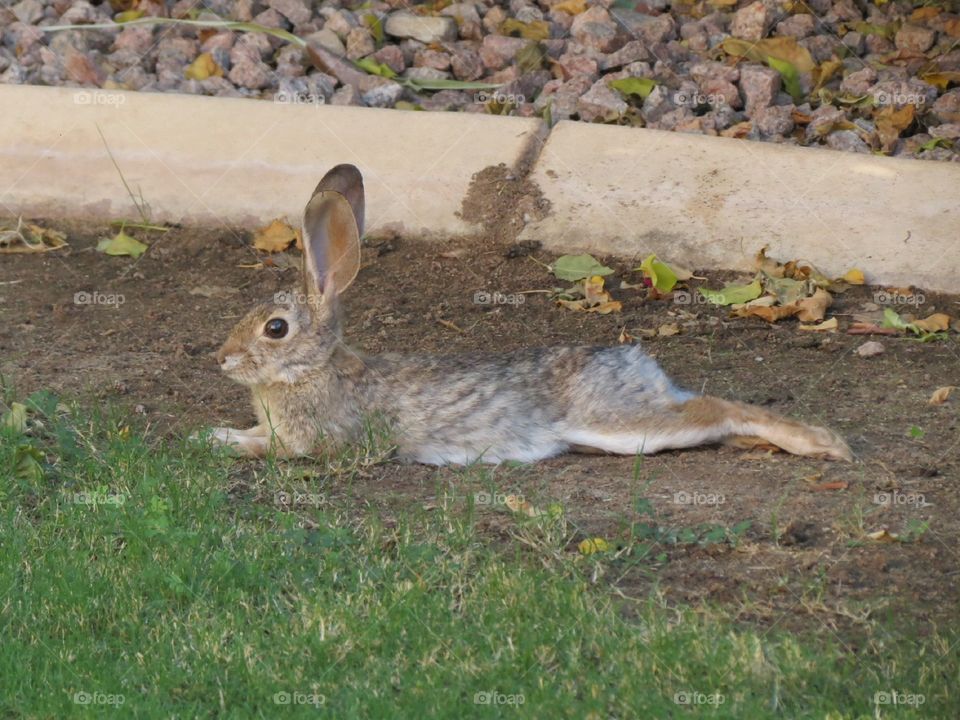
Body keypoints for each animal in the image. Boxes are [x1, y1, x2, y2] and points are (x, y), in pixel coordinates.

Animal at [210, 164, 856, 464]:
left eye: (275, 329)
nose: (222, 359)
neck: (314, 369)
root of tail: (635, 363)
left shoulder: (323, 442)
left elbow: (275, 450)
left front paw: (221, 442)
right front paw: (222, 432)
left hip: (612, 421)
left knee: (714, 410)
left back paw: (825, 445)